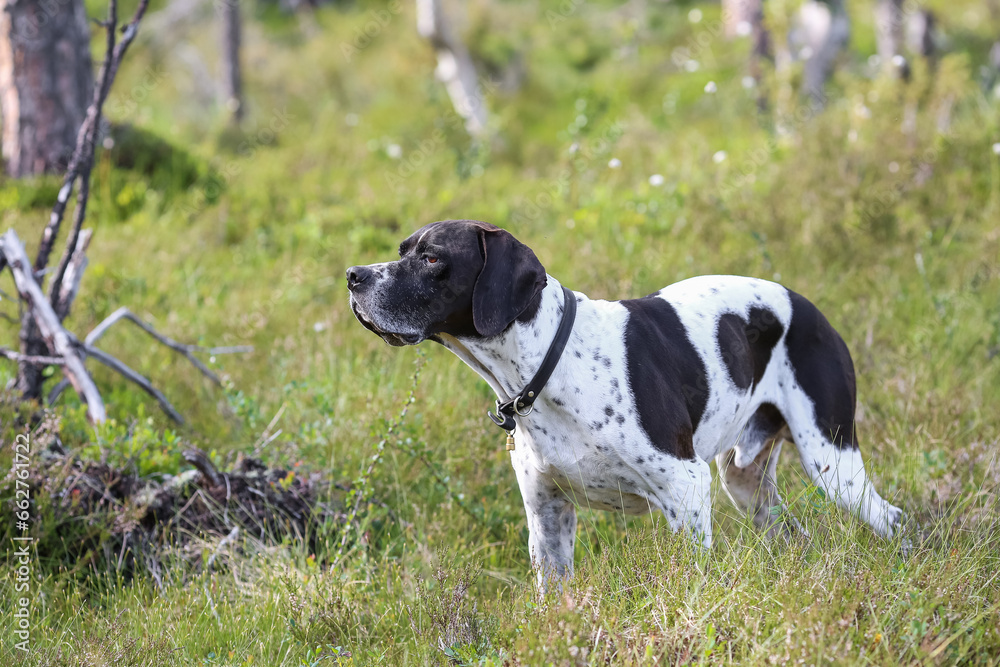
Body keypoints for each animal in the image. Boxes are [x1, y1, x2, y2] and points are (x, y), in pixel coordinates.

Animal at [350, 222, 908, 580]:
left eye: (432, 257)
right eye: (402, 248)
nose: (354, 275)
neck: (549, 363)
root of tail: (808, 305)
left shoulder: (685, 489)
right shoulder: (547, 517)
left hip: (832, 462)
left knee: (892, 519)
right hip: (745, 482)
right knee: (792, 534)